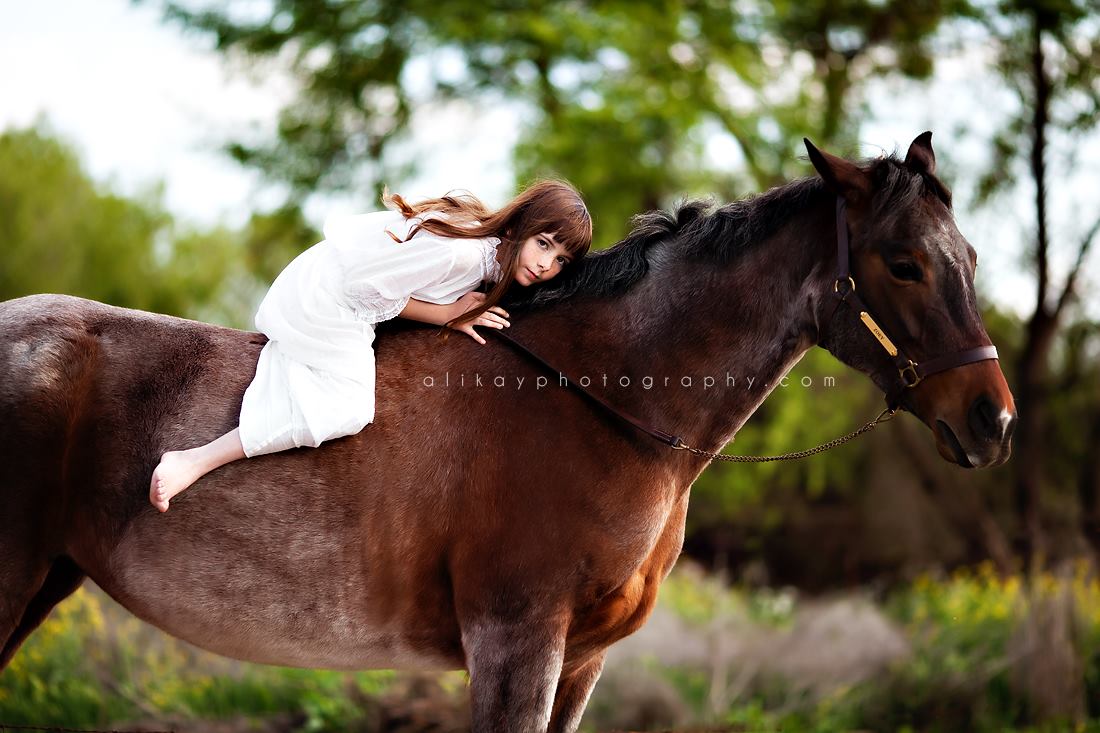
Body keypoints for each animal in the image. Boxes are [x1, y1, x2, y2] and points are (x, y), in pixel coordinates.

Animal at [0, 134, 1012, 726]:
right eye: (904, 263)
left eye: (969, 254)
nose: (992, 418)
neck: (596, 400)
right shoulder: (517, 644)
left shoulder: (581, 662)